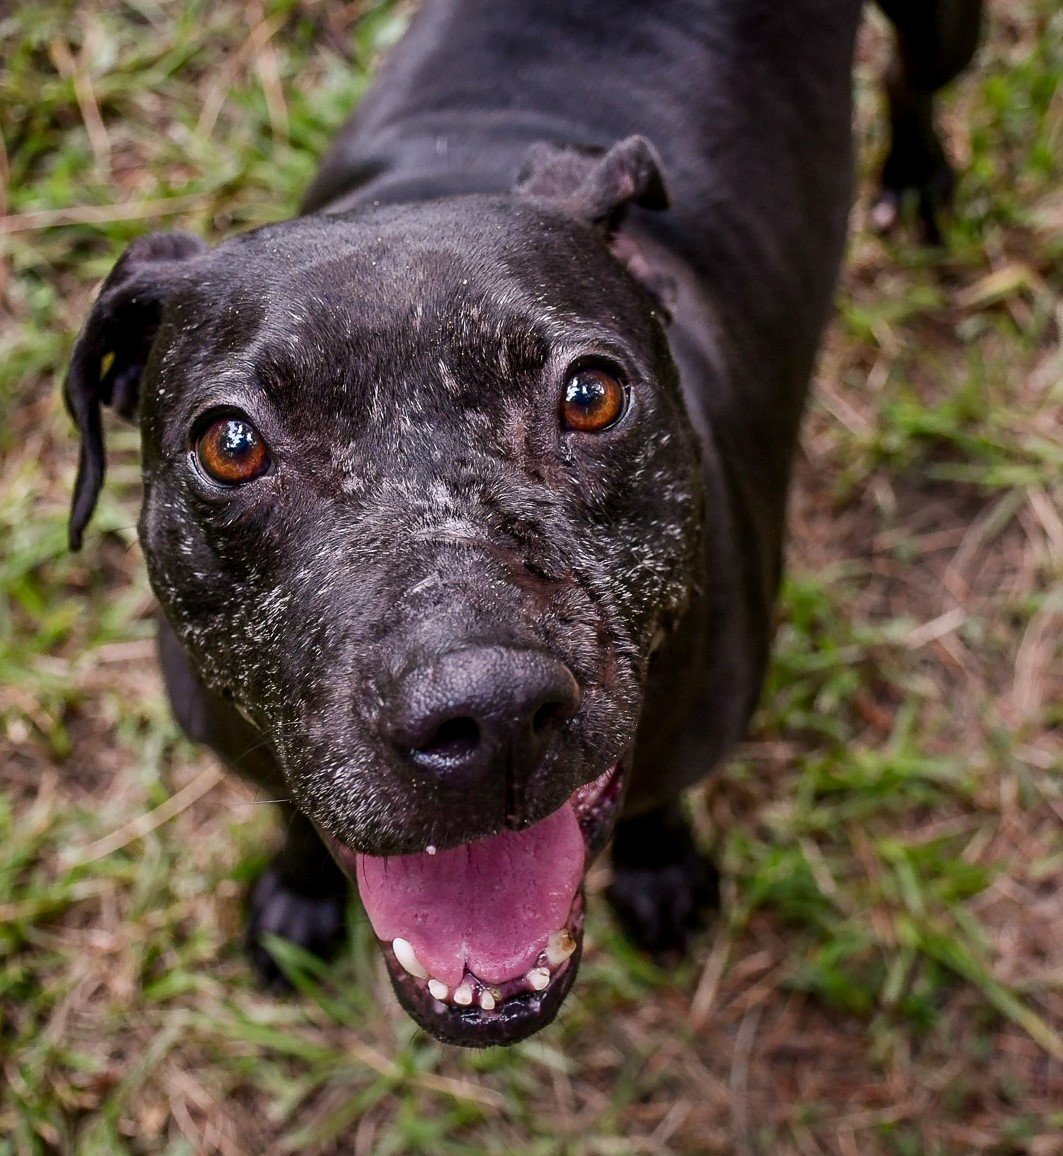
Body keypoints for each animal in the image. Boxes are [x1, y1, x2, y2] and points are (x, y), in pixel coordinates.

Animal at [64, 0, 979, 1049]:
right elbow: (295, 818)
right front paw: (297, 900)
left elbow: (658, 798)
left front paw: (661, 872)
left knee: (912, 78)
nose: (489, 711)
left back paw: (912, 175)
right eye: (230, 446)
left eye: (590, 395)